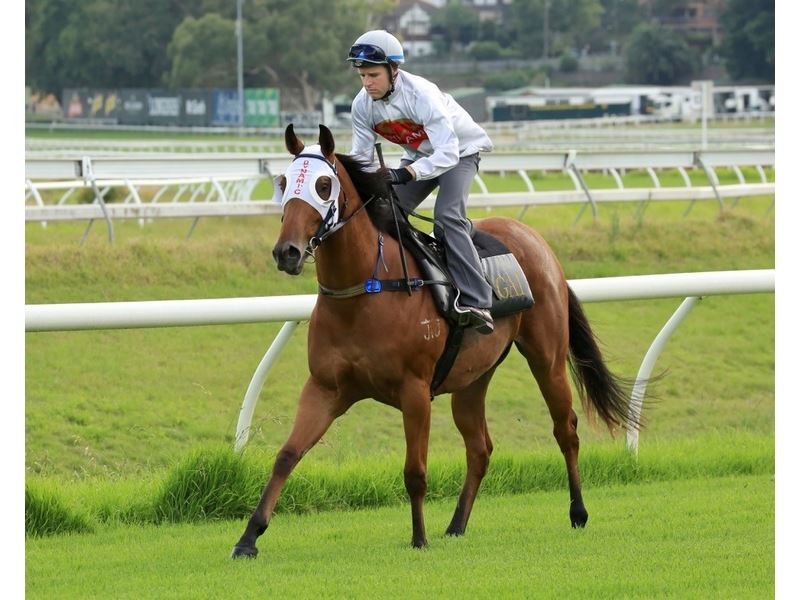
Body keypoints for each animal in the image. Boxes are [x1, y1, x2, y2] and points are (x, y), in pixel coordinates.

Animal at [231, 124, 635, 558]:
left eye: (324, 185)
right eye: (283, 182)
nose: (286, 252)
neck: (367, 289)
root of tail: (536, 240)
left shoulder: (415, 390)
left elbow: (415, 471)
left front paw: (418, 537)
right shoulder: (324, 388)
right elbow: (287, 456)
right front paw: (248, 538)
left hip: (547, 357)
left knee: (566, 430)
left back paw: (578, 512)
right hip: (472, 377)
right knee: (480, 447)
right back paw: (456, 525)